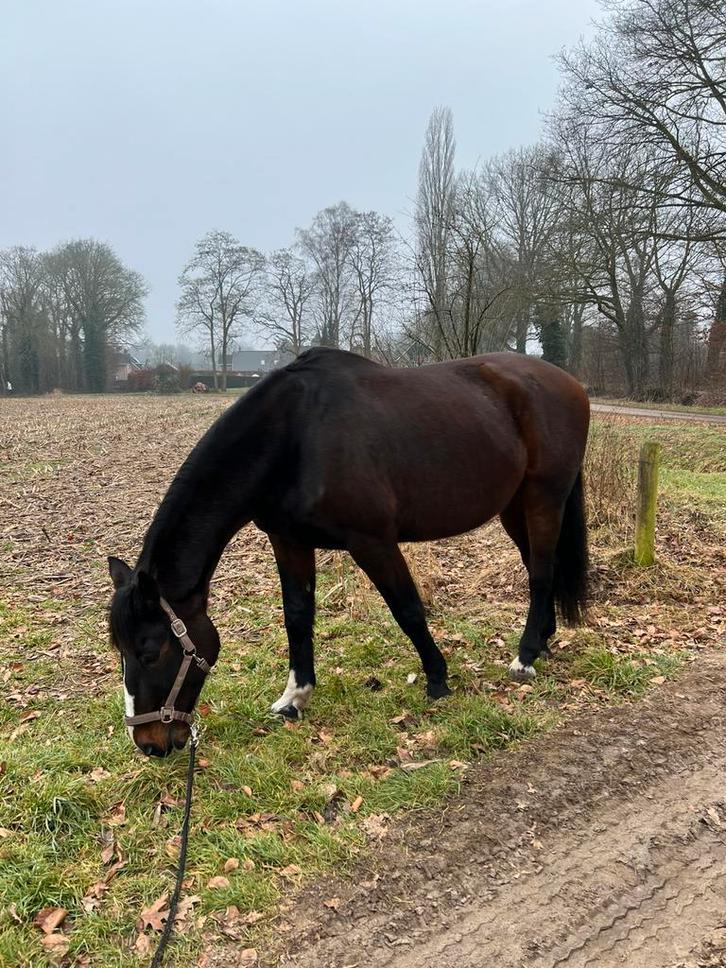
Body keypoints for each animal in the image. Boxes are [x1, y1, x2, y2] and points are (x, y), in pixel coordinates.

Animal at [108, 347, 589, 757]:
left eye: (150, 652)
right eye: (121, 650)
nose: (149, 744)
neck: (293, 437)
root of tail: (570, 383)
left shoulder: (372, 541)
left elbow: (407, 610)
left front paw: (437, 680)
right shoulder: (289, 541)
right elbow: (297, 617)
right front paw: (294, 698)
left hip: (544, 498)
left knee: (540, 573)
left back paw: (524, 658)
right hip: (514, 506)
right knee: (539, 566)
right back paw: (542, 642)